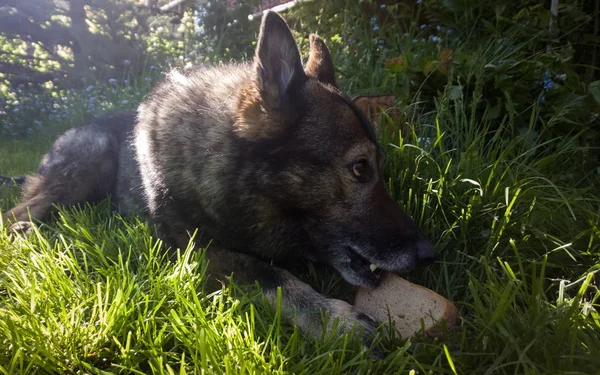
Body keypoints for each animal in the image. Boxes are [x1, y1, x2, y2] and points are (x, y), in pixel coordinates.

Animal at [0, 12, 434, 350]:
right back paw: (28, 234)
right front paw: (333, 319)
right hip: (85, 165)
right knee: (17, 212)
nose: (428, 252)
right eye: (360, 168)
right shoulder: (195, 251)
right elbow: (268, 273)